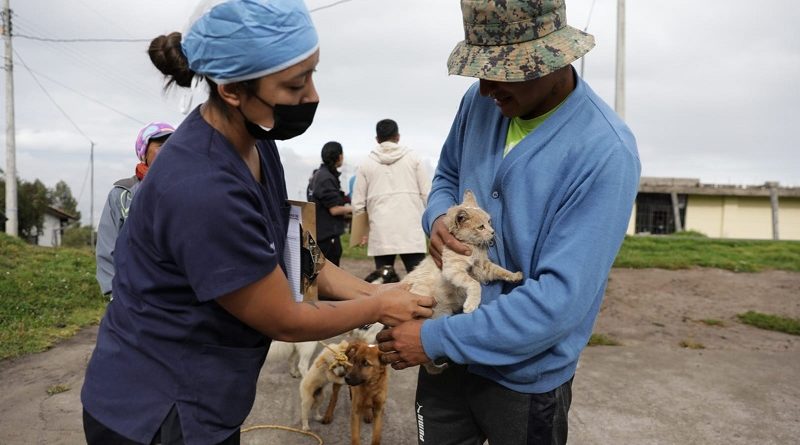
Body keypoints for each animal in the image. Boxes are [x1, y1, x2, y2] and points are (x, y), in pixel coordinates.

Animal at [400, 189, 524, 372]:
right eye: (481, 227)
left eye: (489, 222)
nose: (493, 232)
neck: (473, 248)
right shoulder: (453, 270)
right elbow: (475, 284)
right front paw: (471, 304)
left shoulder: (483, 266)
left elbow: (499, 270)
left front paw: (515, 275)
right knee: (426, 362)